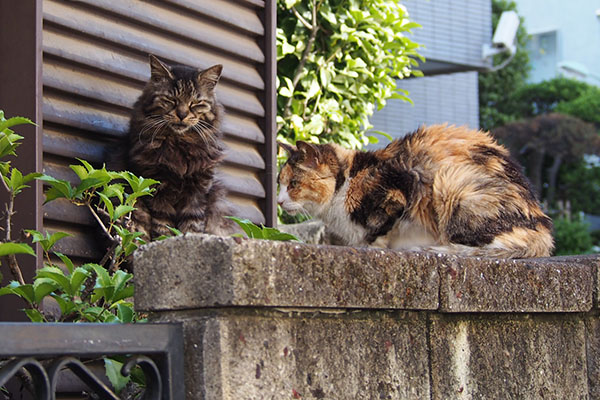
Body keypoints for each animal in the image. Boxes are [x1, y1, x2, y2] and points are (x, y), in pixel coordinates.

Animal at [126, 54, 237, 239]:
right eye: (171, 100)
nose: (182, 114)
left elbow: (192, 226)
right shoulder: (158, 192)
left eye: (196, 103)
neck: (181, 143)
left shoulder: (197, 193)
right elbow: (163, 227)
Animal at [278, 123, 556, 258]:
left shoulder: (399, 188)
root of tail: (542, 230)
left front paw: (374, 249)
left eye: (293, 185)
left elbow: (379, 231)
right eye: (279, 183)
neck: (347, 180)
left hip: (451, 185)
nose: (279, 202)